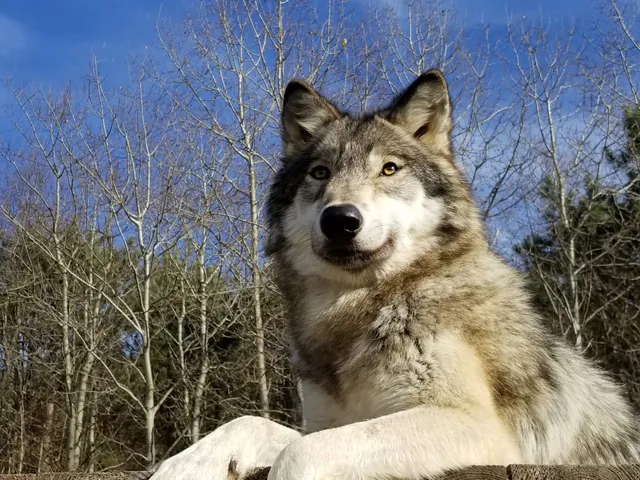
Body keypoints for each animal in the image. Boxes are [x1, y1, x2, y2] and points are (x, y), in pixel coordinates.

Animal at [151, 70, 640, 480]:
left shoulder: (477, 425)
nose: (340, 220)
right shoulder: (330, 421)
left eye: (389, 168)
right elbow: (253, 422)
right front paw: (184, 464)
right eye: (320, 173)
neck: (363, 308)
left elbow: (298, 453)